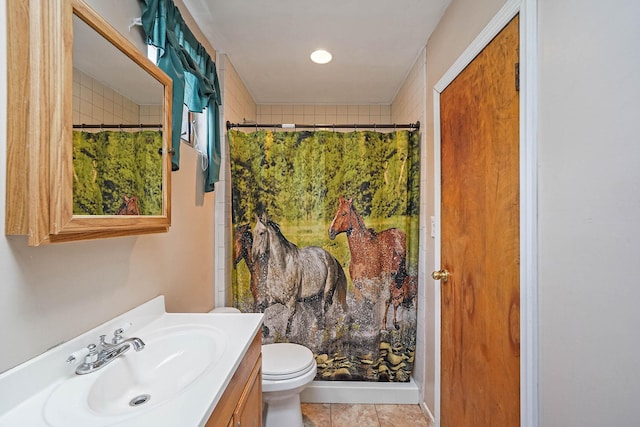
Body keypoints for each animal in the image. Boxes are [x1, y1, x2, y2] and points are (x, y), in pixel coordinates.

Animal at [328, 197, 408, 332]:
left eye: (343, 213)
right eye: (335, 213)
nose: (331, 232)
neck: (362, 256)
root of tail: (401, 233)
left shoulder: (374, 285)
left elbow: (374, 305)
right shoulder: (358, 286)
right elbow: (363, 306)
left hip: (395, 277)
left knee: (392, 298)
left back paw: (387, 325)